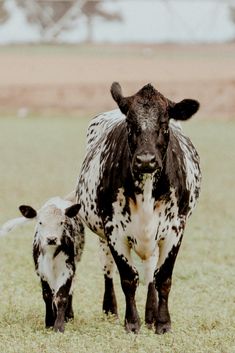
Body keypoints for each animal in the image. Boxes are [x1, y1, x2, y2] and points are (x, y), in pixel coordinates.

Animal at [0, 195, 84, 330]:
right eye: (40, 222)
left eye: (61, 222)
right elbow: (47, 295)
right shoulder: (42, 271)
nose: (51, 239)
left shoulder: (67, 269)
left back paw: (69, 316)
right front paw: (49, 322)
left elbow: (62, 296)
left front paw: (59, 325)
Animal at [76, 82, 201, 332]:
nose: (146, 160)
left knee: (150, 272)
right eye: (130, 124)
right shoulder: (113, 229)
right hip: (102, 236)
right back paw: (110, 309)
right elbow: (128, 278)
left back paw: (150, 314)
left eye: (164, 123)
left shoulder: (175, 228)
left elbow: (163, 277)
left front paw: (162, 322)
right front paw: (132, 322)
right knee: (108, 269)